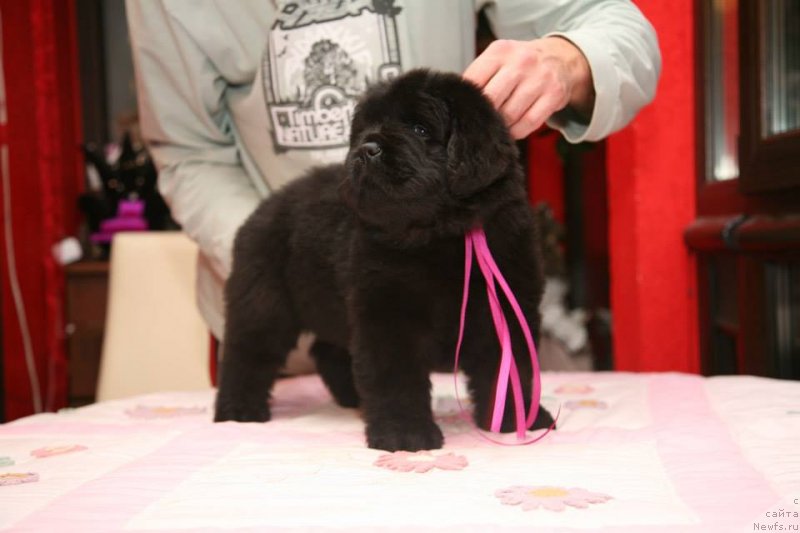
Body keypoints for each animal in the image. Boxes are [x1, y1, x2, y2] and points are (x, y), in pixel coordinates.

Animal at [216, 66, 552, 448]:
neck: (440, 236)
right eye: (365, 128)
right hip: (264, 304)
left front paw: (516, 420)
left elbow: (510, 369)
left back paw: (351, 398)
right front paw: (404, 434)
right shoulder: (387, 313)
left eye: (420, 129)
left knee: (327, 351)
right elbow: (396, 377)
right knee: (246, 355)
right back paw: (238, 410)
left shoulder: (505, 305)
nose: (367, 149)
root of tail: (265, 206)